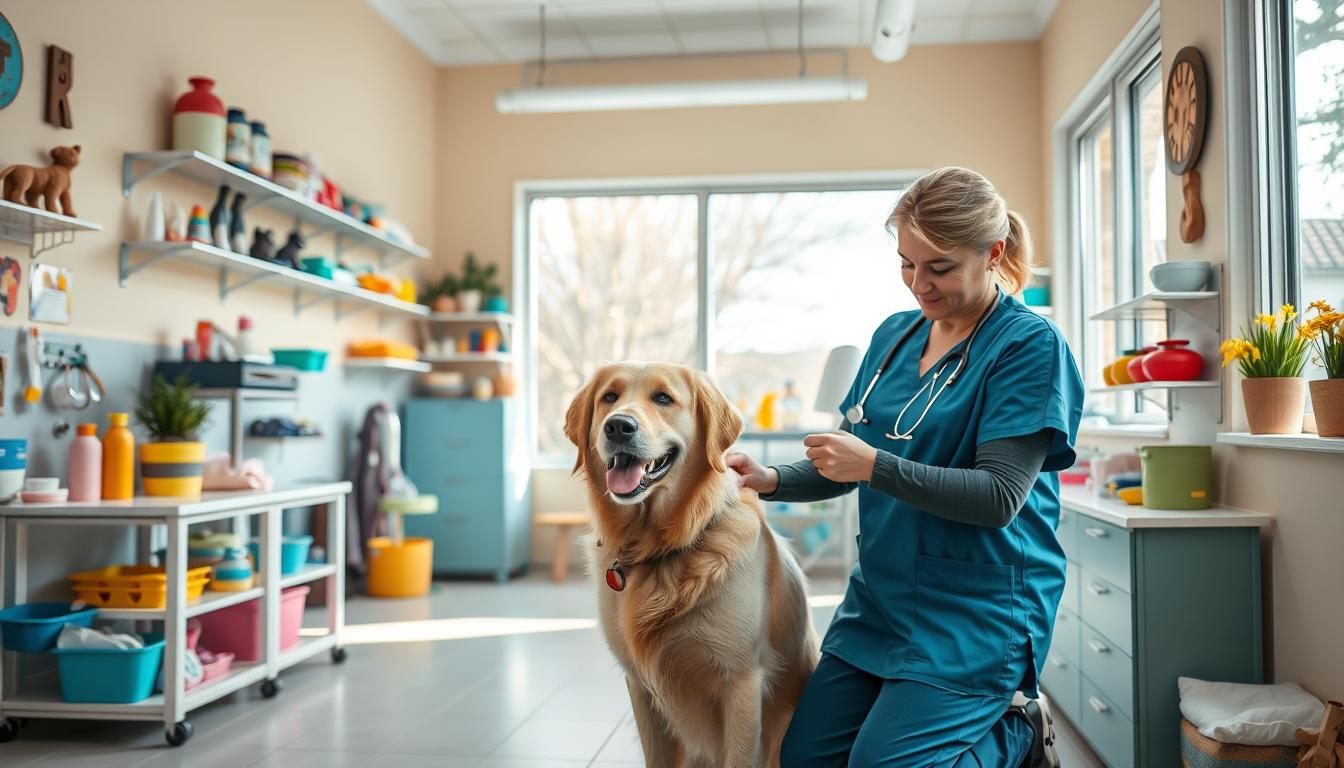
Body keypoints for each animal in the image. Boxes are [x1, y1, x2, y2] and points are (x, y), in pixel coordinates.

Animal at [559, 363, 811, 763]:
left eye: (664, 398)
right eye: (609, 397)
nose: (618, 426)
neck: (661, 549)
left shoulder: (742, 685)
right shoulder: (640, 688)